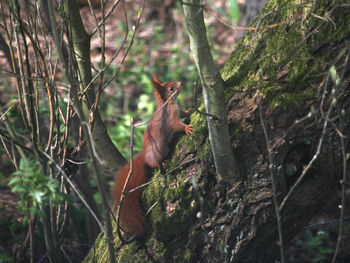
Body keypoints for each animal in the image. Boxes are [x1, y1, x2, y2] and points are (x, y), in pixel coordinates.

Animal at [112, 73, 193, 236]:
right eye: (171, 88)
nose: (181, 83)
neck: (168, 104)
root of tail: (144, 156)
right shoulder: (170, 117)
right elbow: (177, 124)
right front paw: (187, 127)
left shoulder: (176, 110)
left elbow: (182, 113)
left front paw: (189, 111)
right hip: (159, 151)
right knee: (154, 164)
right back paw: (162, 163)